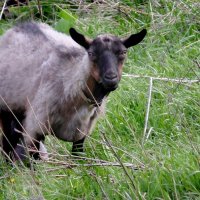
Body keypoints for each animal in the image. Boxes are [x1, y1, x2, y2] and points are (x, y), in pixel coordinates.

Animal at [0, 21, 147, 159]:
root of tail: (19, 26)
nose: (111, 78)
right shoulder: (35, 127)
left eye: (123, 52)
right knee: (7, 144)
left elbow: (78, 157)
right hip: (7, 109)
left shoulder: (82, 132)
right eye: (91, 53)